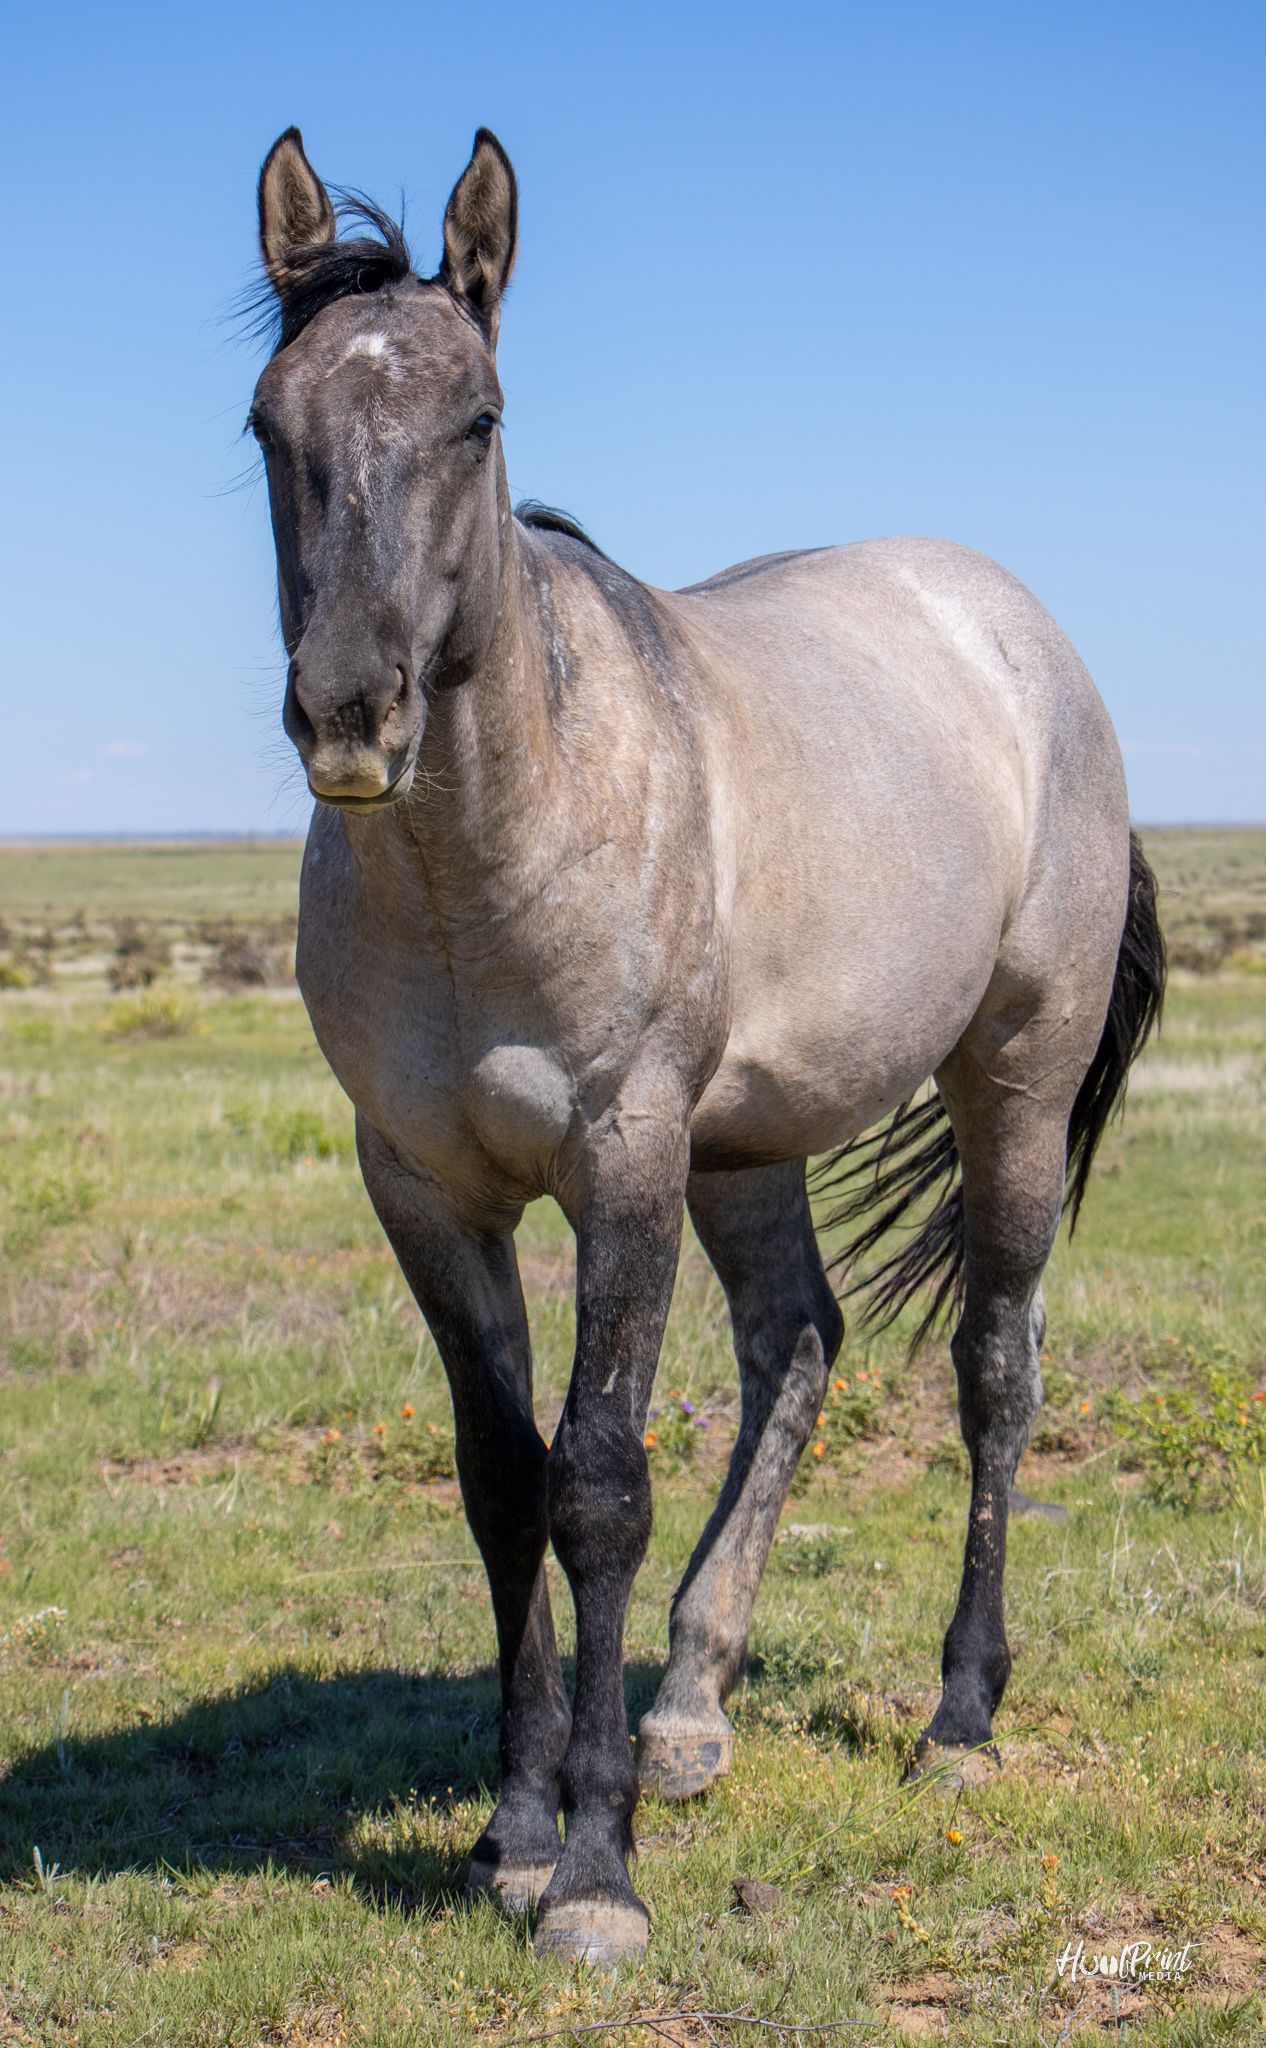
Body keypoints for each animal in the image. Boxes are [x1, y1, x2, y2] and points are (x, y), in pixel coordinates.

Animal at [245, 126, 1165, 1963]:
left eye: (476, 419)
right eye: (265, 427)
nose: (350, 714)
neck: (478, 866)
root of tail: (1014, 629)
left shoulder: (622, 1157)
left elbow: (597, 1480)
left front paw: (593, 1876)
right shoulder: (423, 1186)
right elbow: (500, 1477)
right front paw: (517, 1822)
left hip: (1007, 1086)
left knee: (995, 1368)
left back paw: (958, 1716)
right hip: (751, 1142)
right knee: (796, 1343)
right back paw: (687, 1705)